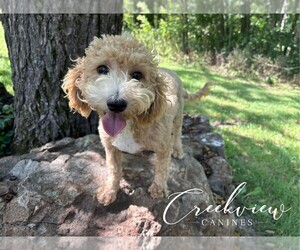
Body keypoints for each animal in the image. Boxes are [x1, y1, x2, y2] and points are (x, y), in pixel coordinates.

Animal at [62, 33, 210, 205]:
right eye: (102, 69)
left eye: (137, 75)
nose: (116, 104)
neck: (130, 124)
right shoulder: (110, 147)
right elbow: (113, 169)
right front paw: (109, 190)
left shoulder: (163, 146)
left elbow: (162, 168)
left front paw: (158, 189)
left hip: (178, 115)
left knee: (178, 133)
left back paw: (178, 150)